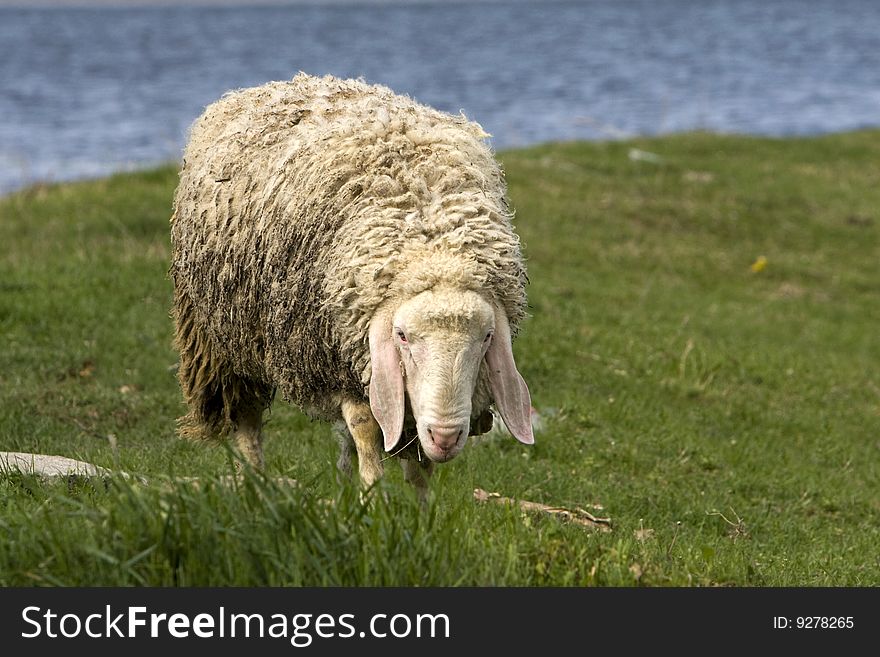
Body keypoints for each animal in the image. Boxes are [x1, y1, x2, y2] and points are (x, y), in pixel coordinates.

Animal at [168, 72, 532, 494]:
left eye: (487, 337)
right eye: (401, 336)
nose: (445, 436)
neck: (431, 243)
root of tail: (270, 85)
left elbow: (418, 466)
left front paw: (419, 506)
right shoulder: (341, 356)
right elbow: (366, 432)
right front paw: (371, 497)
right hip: (224, 338)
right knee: (246, 417)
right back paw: (257, 483)